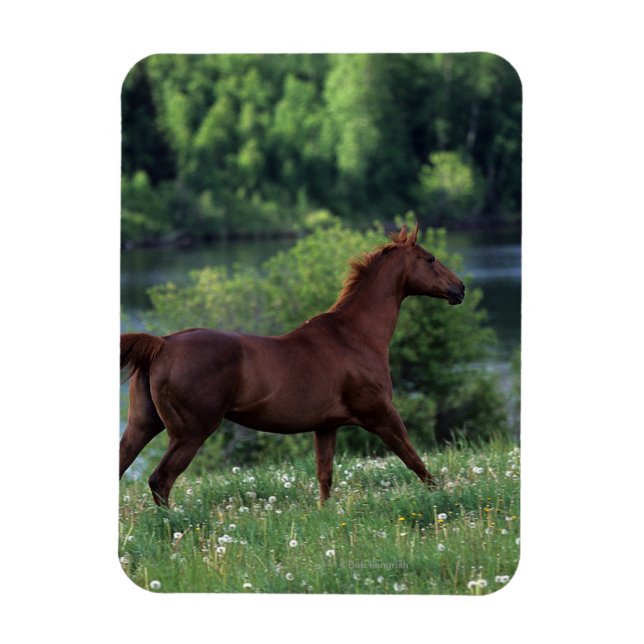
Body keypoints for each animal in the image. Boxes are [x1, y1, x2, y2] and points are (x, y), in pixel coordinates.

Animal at [120, 224, 465, 506]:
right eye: (430, 258)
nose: (460, 288)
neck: (354, 335)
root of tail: (162, 343)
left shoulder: (326, 426)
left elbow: (325, 477)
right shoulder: (381, 414)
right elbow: (415, 461)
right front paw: (443, 500)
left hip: (144, 425)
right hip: (190, 432)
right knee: (160, 480)